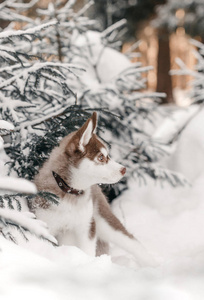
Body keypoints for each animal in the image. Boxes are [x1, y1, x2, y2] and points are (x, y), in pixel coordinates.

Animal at [29, 112, 155, 264]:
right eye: (101, 157)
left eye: (107, 155)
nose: (124, 169)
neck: (70, 192)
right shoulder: (47, 224)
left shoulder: (87, 226)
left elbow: (88, 251)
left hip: (103, 220)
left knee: (133, 242)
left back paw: (152, 264)